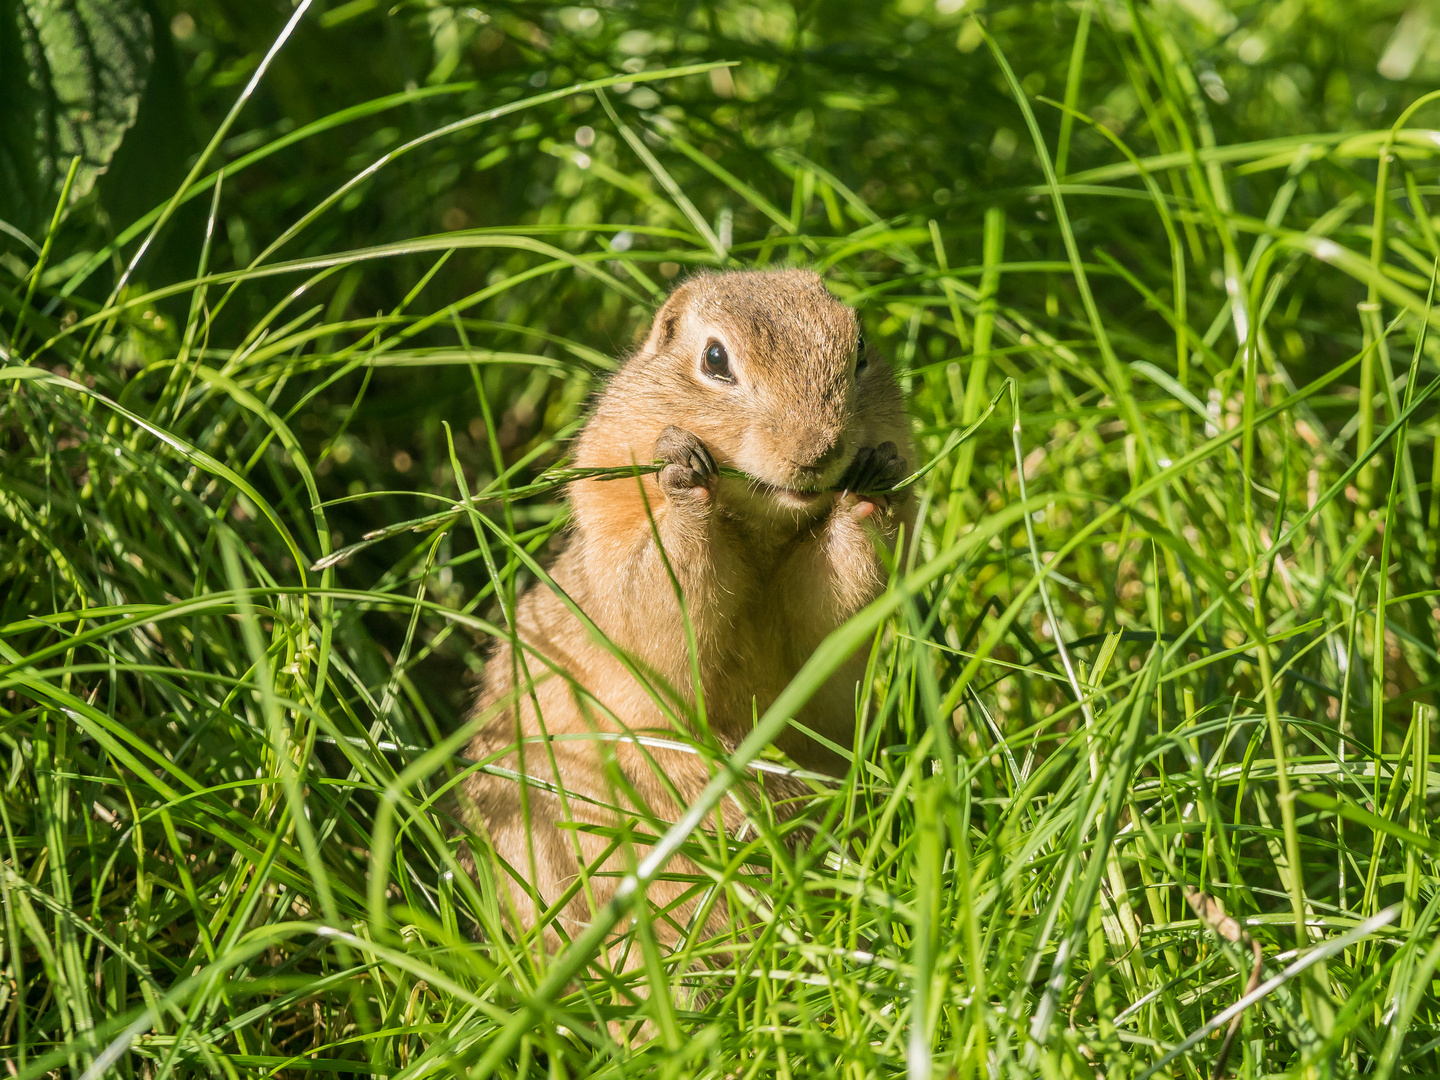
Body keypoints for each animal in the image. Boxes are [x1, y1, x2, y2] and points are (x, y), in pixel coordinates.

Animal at [460, 270, 910, 956]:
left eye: (860, 350)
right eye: (715, 359)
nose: (819, 450)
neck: (758, 527)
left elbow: (829, 603)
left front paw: (873, 479)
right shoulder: (617, 531)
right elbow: (658, 597)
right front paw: (683, 470)